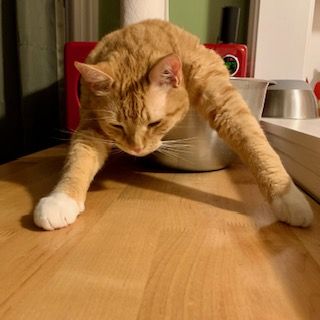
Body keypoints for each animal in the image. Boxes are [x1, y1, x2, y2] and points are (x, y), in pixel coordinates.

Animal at [33, 19, 314, 230]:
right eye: (117, 126)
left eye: (155, 123)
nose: (136, 149)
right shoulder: (92, 127)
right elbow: (78, 161)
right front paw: (61, 200)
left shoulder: (226, 104)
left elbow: (256, 146)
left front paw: (288, 197)